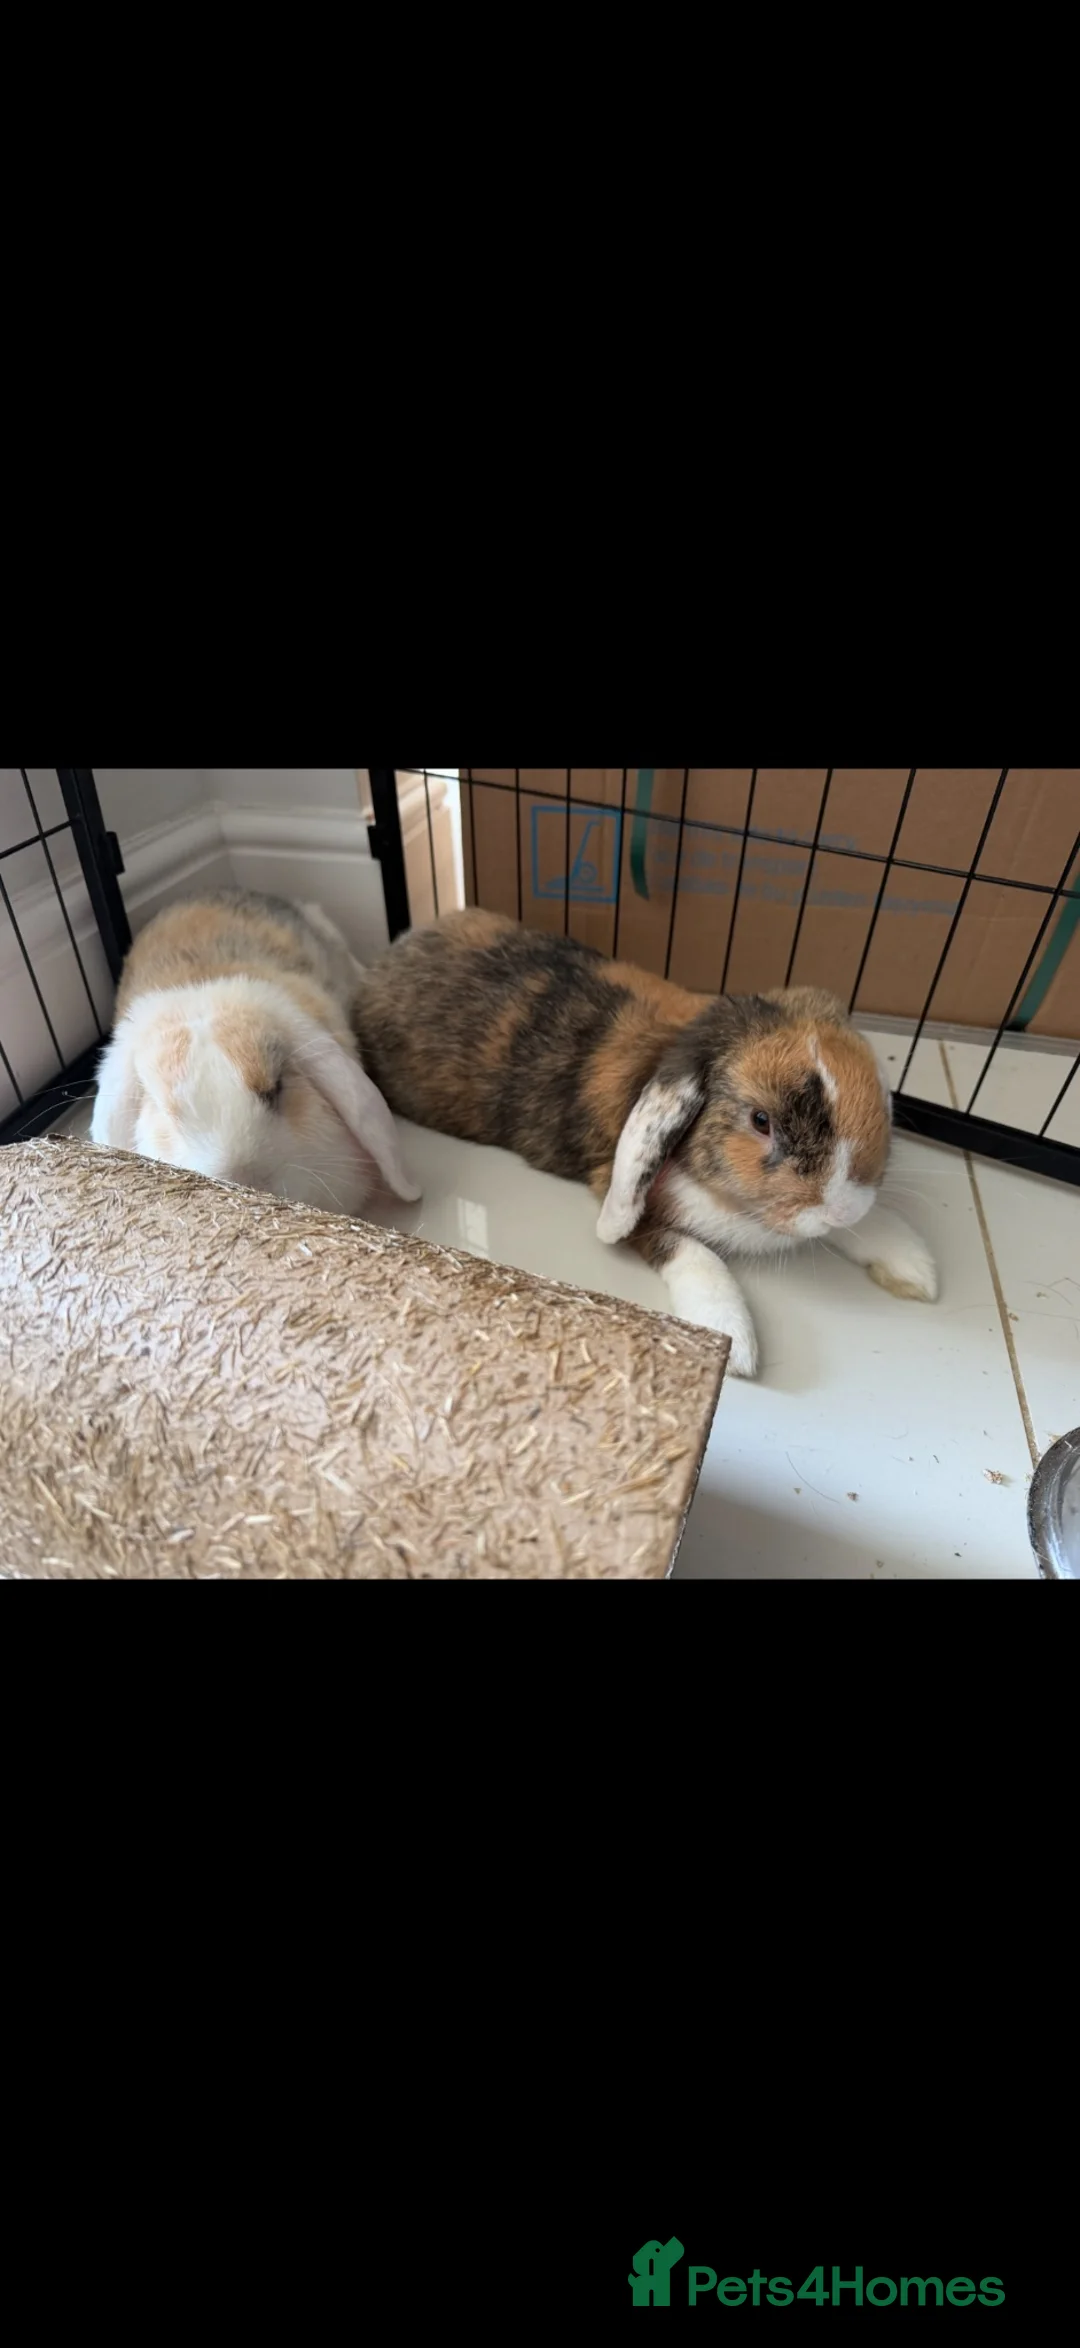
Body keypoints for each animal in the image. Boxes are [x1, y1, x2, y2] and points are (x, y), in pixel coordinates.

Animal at [354, 909, 937, 1377]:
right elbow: (691, 1251)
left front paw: (914, 1268)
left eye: (874, 1098)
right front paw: (735, 1340)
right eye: (760, 1120)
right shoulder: (625, 1197)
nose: (839, 1207)